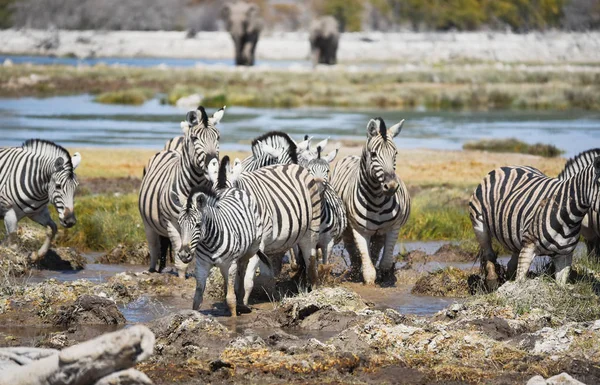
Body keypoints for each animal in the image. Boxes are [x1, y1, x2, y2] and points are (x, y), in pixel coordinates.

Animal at [138, 106, 225, 278]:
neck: (194, 185)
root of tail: (170, 150)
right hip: (148, 223)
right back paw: (152, 270)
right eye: (194, 138)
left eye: (218, 137)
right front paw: (181, 278)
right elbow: (180, 259)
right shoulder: (172, 223)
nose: (213, 167)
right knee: (154, 247)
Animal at [172, 183, 268, 316]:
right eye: (179, 224)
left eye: (198, 225)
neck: (209, 243)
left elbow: (231, 299)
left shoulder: (231, 265)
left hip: (250, 250)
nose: (184, 255)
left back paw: (241, 302)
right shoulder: (201, 265)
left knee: (242, 268)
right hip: (224, 265)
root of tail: (235, 189)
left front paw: (234, 318)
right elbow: (197, 298)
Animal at [213, 155, 322, 304]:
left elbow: (247, 279)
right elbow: (236, 275)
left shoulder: (257, 245)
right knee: (273, 266)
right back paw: (275, 295)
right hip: (280, 240)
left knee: (310, 259)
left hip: (311, 229)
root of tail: (293, 165)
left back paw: (313, 290)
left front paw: (244, 303)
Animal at [330, 118, 410, 284]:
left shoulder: (393, 228)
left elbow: (385, 262)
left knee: (376, 249)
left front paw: (385, 277)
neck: (376, 200)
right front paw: (368, 280)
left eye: (395, 154)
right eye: (373, 154)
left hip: (380, 232)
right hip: (348, 229)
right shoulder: (360, 230)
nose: (391, 186)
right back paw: (353, 270)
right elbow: (368, 270)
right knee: (352, 250)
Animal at [468, 158, 600, 288]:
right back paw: (493, 283)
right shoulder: (528, 247)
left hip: (516, 240)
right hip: (479, 225)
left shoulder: (564, 256)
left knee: (510, 265)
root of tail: (508, 166)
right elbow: (520, 282)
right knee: (489, 254)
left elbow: (560, 285)